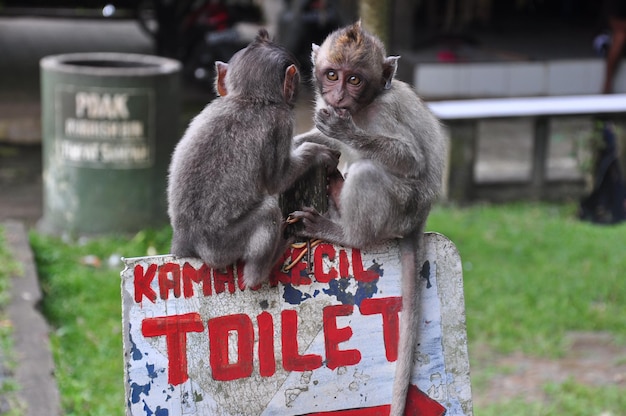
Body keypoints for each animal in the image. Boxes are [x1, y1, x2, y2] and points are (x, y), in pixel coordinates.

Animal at [167, 29, 336, 290]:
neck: (248, 98)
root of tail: (187, 241)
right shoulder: (281, 120)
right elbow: (277, 181)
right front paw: (315, 152)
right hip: (222, 247)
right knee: (268, 211)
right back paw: (265, 267)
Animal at [290, 22, 446, 416]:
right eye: (332, 75)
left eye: (355, 80)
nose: (339, 96)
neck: (363, 108)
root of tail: (419, 219)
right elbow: (321, 140)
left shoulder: (383, 113)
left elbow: (410, 160)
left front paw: (346, 131)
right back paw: (334, 185)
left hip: (402, 206)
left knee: (367, 173)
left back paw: (345, 232)